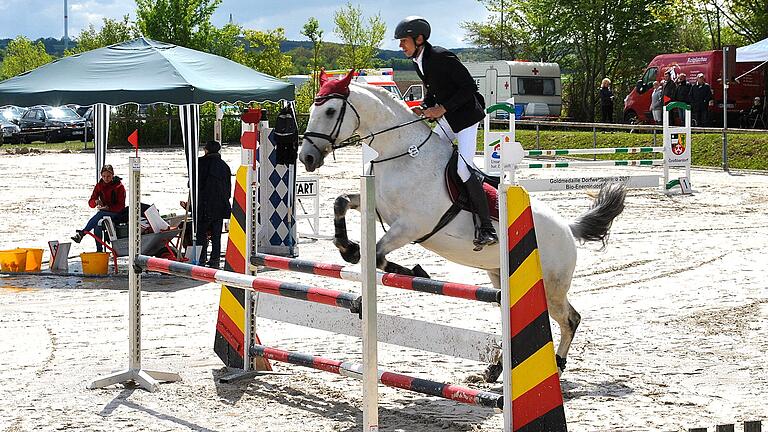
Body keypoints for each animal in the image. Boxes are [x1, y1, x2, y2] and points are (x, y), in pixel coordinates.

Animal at [296, 72, 628, 380]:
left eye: (330, 111)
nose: (307, 157)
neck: (400, 154)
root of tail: (568, 230)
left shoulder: (411, 226)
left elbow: (376, 254)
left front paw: (406, 271)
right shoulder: (375, 206)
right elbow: (341, 203)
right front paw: (348, 248)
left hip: (550, 285)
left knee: (569, 319)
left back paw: (556, 365)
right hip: (500, 277)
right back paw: (495, 369)